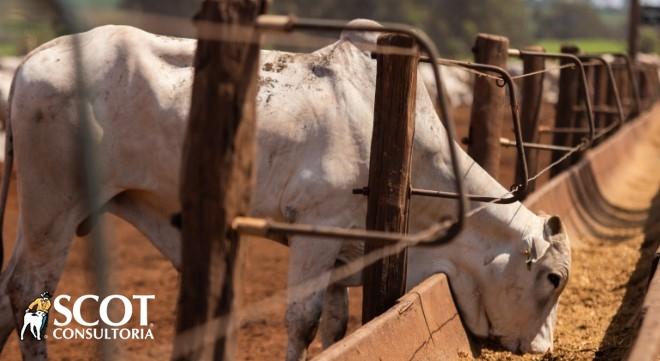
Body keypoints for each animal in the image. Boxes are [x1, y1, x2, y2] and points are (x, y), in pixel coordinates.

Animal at [0, 21, 568, 358]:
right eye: (554, 278)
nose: (541, 348)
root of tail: (33, 59)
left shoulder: (344, 250)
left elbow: (336, 322)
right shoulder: (316, 230)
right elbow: (303, 319)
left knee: (8, 289)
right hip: (54, 204)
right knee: (29, 291)